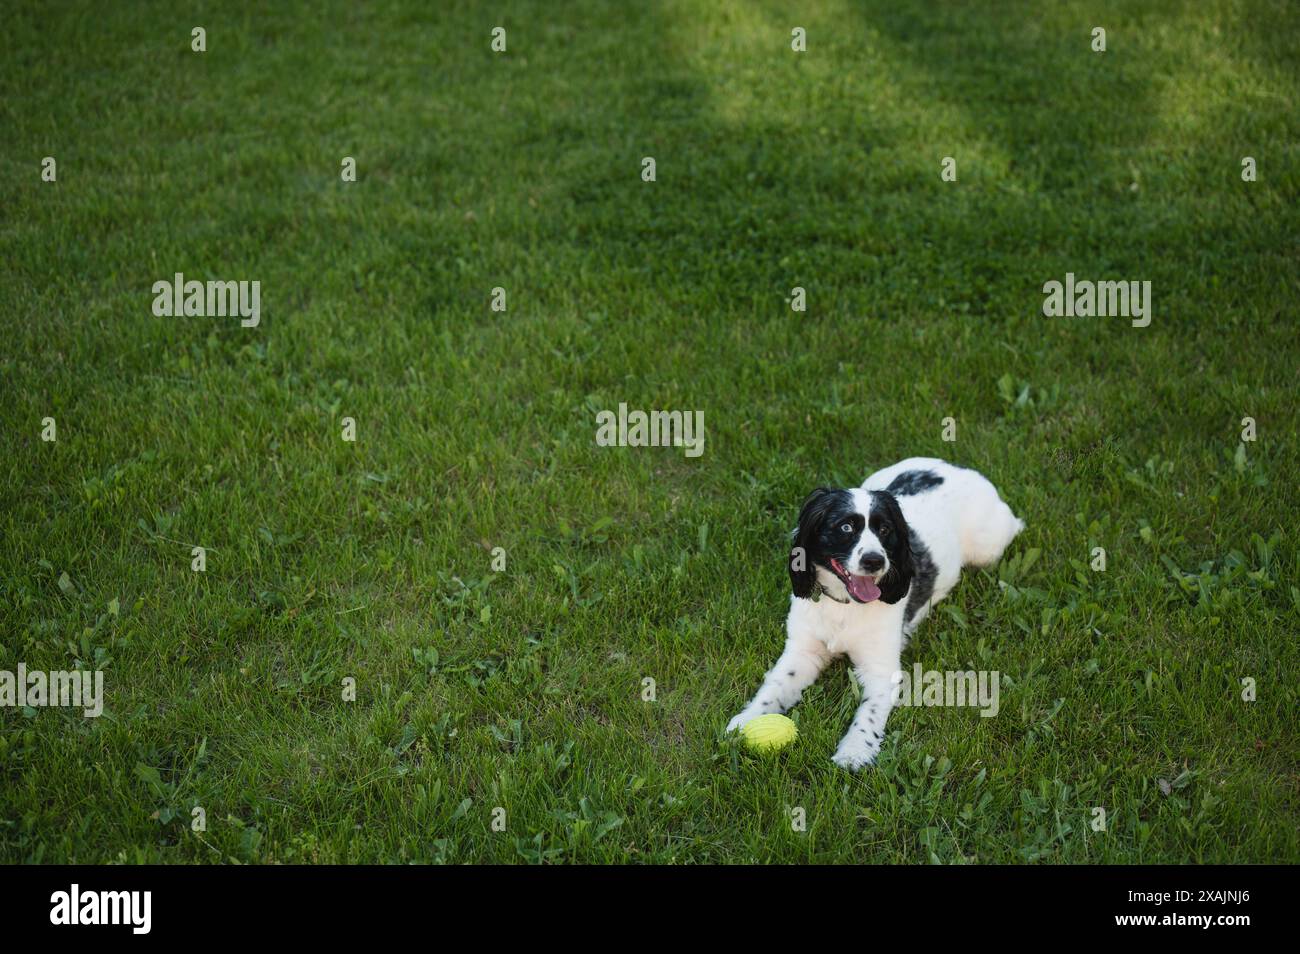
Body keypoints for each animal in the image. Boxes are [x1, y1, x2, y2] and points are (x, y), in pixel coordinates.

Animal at [728, 460, 1019, 774]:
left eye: (885, 528)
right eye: (845, 527)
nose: (874, 561)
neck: (844, 606)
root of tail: (955, 466)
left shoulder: (880, 669)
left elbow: (869, 712)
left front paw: (855, 751)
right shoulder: (802, 651)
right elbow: (776, 685)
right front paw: (745, 721)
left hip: (987, 549)